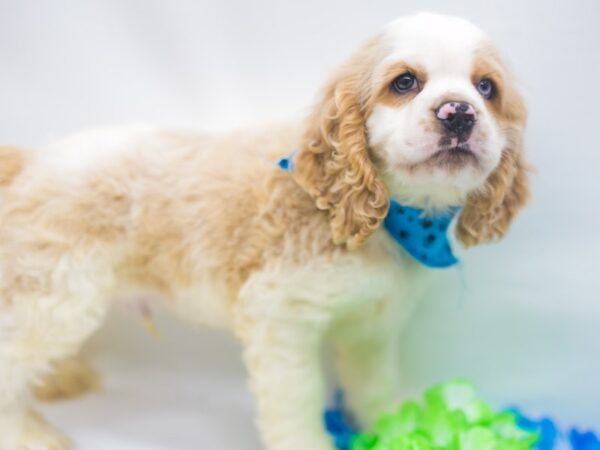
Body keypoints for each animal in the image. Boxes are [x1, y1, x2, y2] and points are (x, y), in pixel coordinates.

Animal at [0, 12, 528, 450]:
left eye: (486, 88)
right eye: (404, 82)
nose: (459, 112)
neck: (387, 223)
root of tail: (35, 159)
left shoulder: (371, 329)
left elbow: (373, 389)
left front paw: (392, 432)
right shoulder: (280, 320)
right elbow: (297, 403)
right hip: (60, 297)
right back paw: (30, 434)